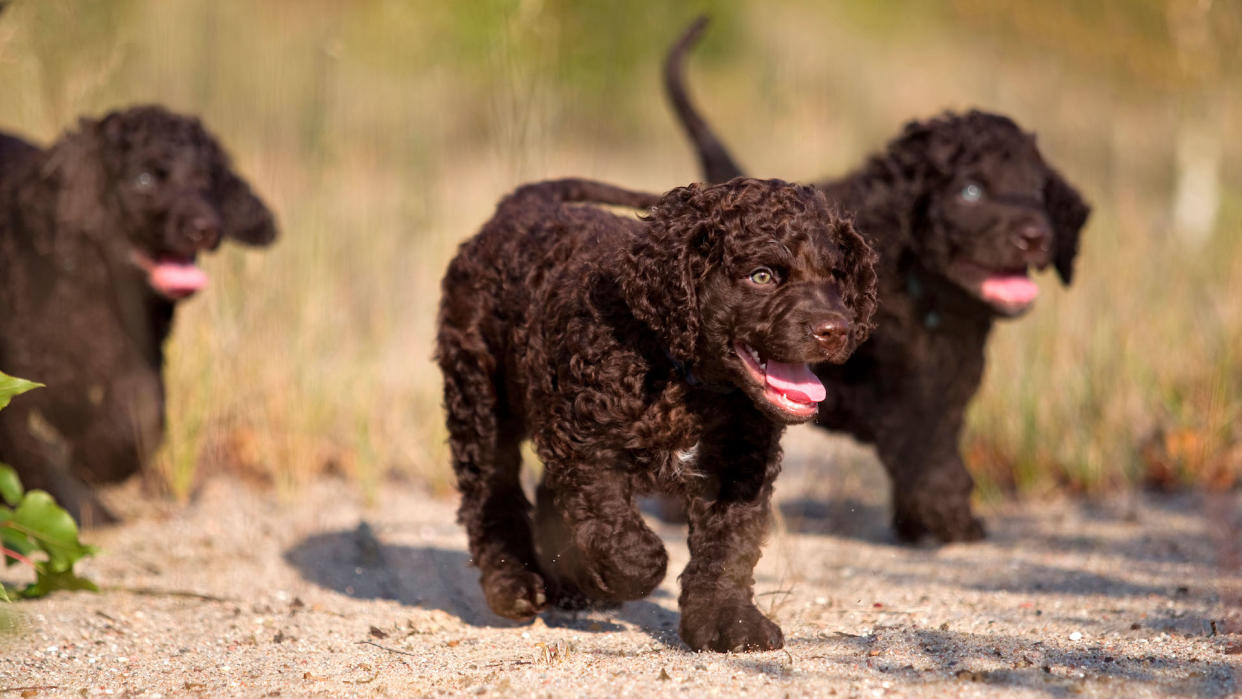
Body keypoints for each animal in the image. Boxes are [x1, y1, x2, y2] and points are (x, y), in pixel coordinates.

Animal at [0, 105, 276, 526]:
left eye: (207, 181)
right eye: (143, 179)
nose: (205, 228)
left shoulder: (139, 357)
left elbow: (142, 415)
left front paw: (95, 460)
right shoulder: (18, 370)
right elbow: (29, 449)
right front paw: (77, 506)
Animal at [442, 177, 879, 655]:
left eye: (835, 277)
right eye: (761, 276)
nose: (834, 330)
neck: (684, 375)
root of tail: (522, 203)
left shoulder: (742, 463)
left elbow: (729, 546)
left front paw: (731, 622)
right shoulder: (587, 445)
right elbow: (617, 532)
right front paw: (627, 573)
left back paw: (569, 584)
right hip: (478, 394)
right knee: (491, 492)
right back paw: (514, 584)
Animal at [670, 15, 1087, 541]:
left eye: (1037, 191)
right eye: (970, 191)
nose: (1035, 236)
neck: (929, 301)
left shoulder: (948, 388)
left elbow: (934, 444)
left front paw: (927, 519)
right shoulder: (894, 394)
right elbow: (925, 450)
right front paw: (950, 518)